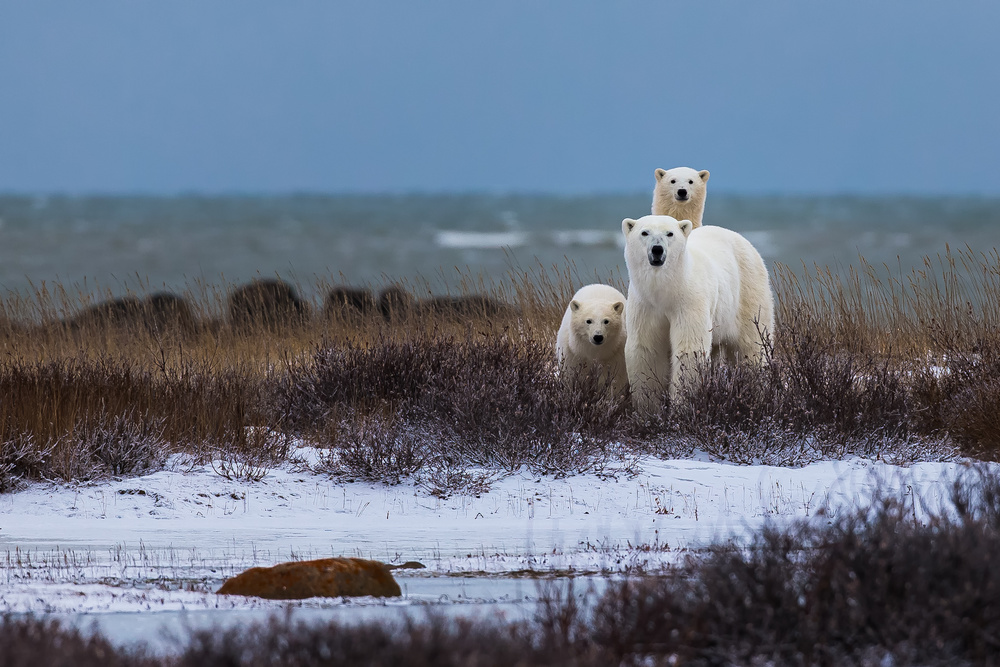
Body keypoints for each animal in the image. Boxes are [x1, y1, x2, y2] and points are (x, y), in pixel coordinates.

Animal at [622, 215, 774, 415]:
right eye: (644, 232)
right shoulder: (645, 304)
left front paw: (681, 406)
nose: (657, 249)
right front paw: (648, 410)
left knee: (751, 346)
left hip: (748, 293)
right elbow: (646, 348)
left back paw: (757, 391)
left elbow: (689, 348)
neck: (668, 288)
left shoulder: (689, 301)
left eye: (670, 233)